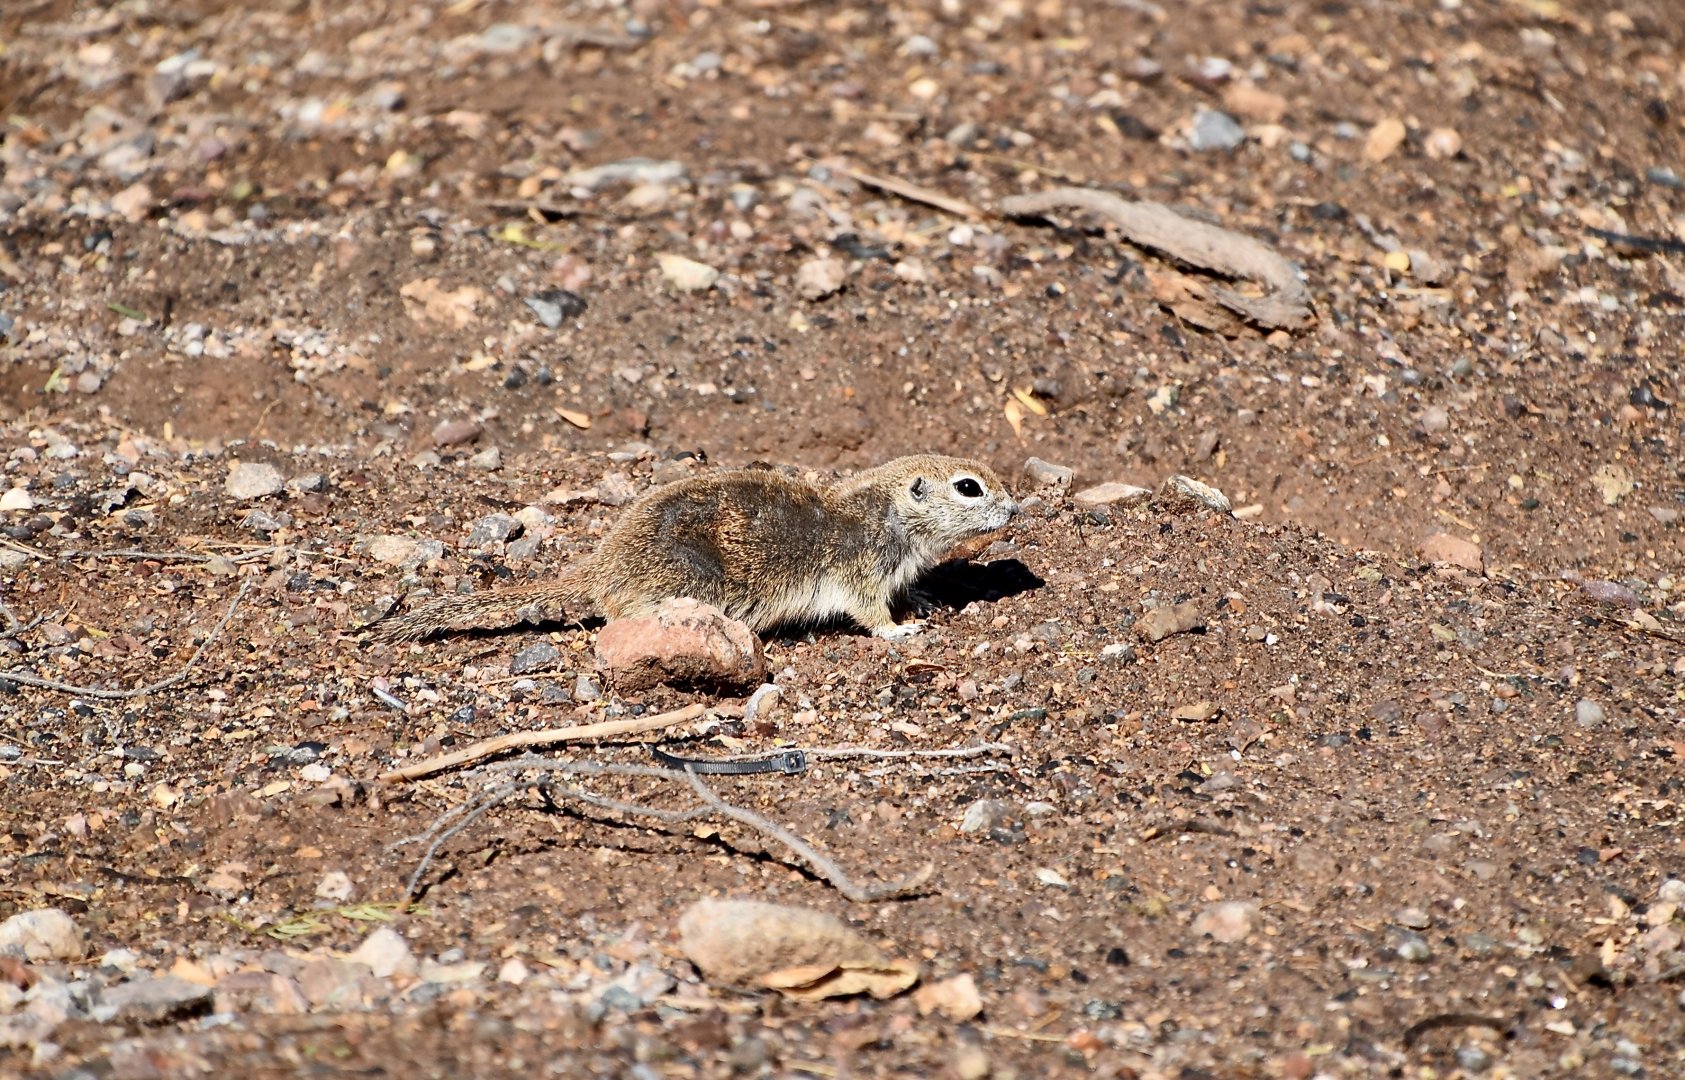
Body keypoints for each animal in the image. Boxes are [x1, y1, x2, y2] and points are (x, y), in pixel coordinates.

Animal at [371, 454, 1019, 643]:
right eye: (969, 487)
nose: (1016, 509)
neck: (891, 515)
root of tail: (599, 570)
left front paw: (925, 602)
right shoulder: (859, 570)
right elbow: (869, 612)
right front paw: (899, 630)